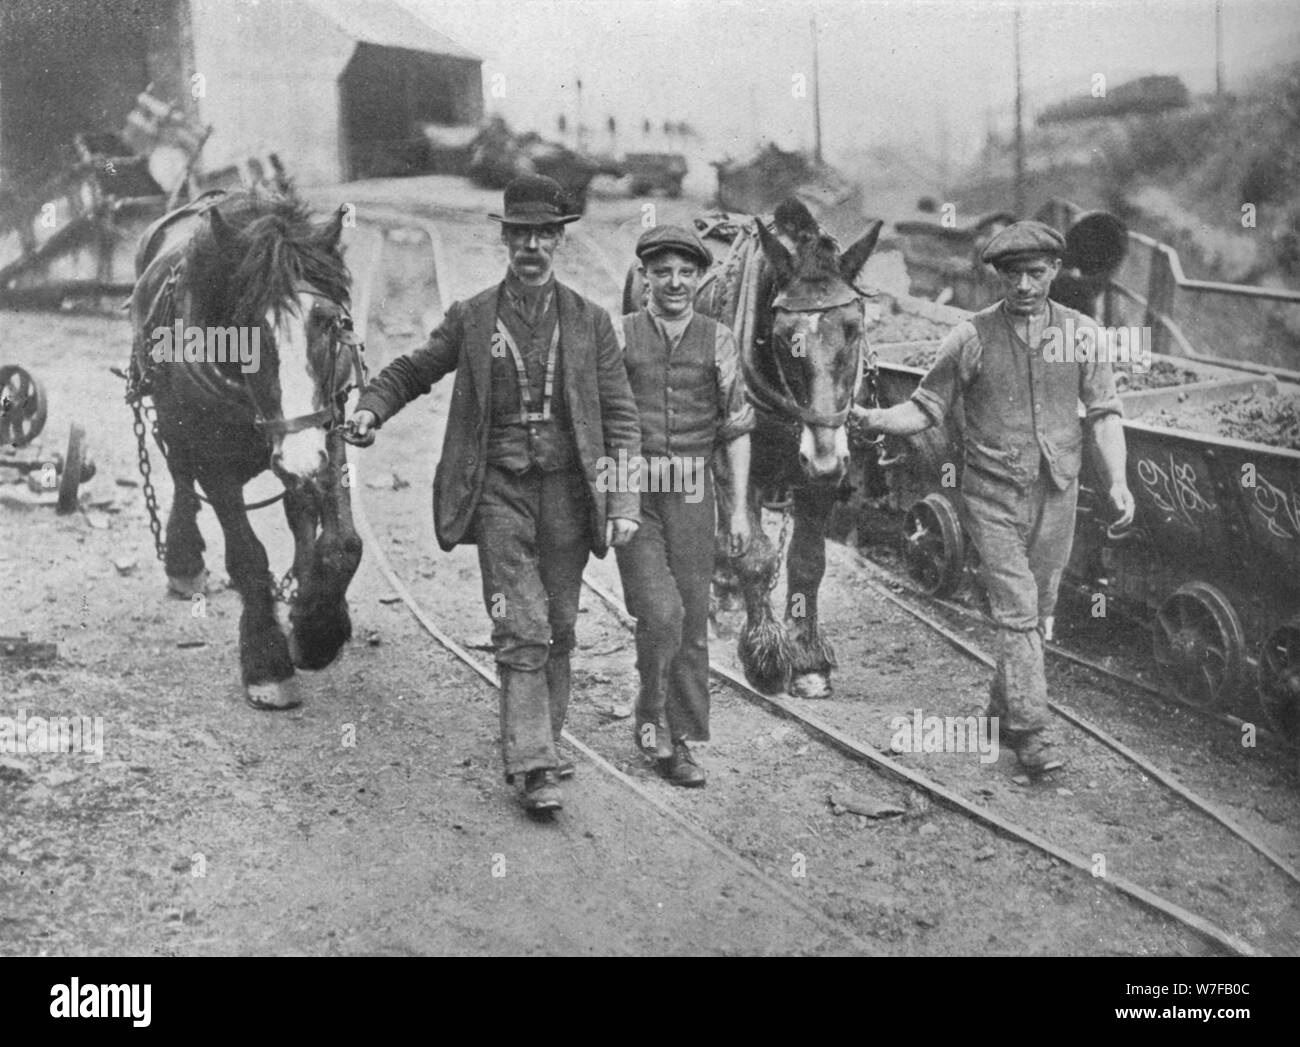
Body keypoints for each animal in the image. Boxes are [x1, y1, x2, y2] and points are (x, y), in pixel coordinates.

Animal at [127, 187, 366, 712]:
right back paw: (185, 560)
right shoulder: (212, 455)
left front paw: (317, 629)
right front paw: (267, 662)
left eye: (328, 323)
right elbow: (248, 555)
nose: (298, 456)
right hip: (173, 420)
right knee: (181, 477)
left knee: (298, 509)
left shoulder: (327, 430)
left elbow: (342, 543)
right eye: (244, 328)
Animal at [621, 200, 883, 697]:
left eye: (854, 328)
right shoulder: (739, 454)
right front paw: (764, 653)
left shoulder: (822, 473)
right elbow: (757, 557)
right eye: (783, 336)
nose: (823, 458)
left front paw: (807, 656)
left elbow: (807, 560)